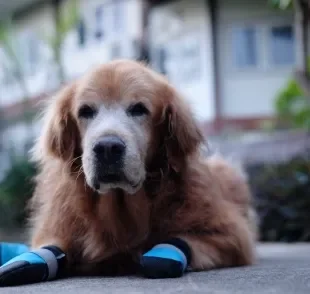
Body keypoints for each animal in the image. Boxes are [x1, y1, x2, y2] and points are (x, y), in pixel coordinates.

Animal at [29, 59, 256, 276]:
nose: (107, 148)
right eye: (85, 111)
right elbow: (51, 246)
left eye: (139, 109)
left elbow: (184, 240)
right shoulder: (57, 228)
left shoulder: (231, 235)